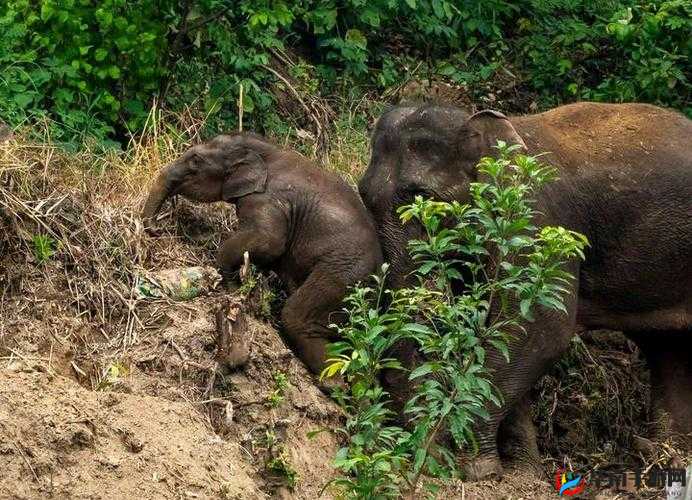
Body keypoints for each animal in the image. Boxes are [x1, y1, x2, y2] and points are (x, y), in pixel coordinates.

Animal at [142, 132, 383, 375]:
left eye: (195, 160)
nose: (156, 229)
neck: (265, 149)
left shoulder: (267, 199)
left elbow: (270, 242)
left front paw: (231, 285)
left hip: (344, 274)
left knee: (296, 317)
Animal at [358, 102, 692, 479]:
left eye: (423, 197)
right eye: (363, 196)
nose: (424, 454)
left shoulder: (537, 225)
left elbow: (537, 328)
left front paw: (474, 469)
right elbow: (500, 329)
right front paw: (521, 473)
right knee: (669, 349)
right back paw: (667, 457)